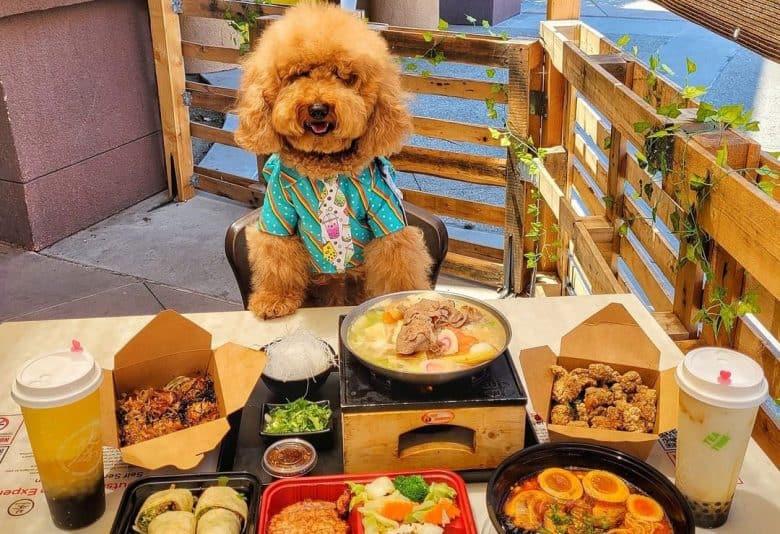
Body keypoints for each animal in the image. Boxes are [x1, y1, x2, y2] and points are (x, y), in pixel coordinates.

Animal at [235, 2, 436, 318]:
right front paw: (273, 299)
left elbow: (397, 257)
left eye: (343, 77)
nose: (318, 109)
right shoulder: (278, 213)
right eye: (299, 74)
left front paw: (405, 299)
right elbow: (276, 255)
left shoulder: (386, 214)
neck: (326, 166)